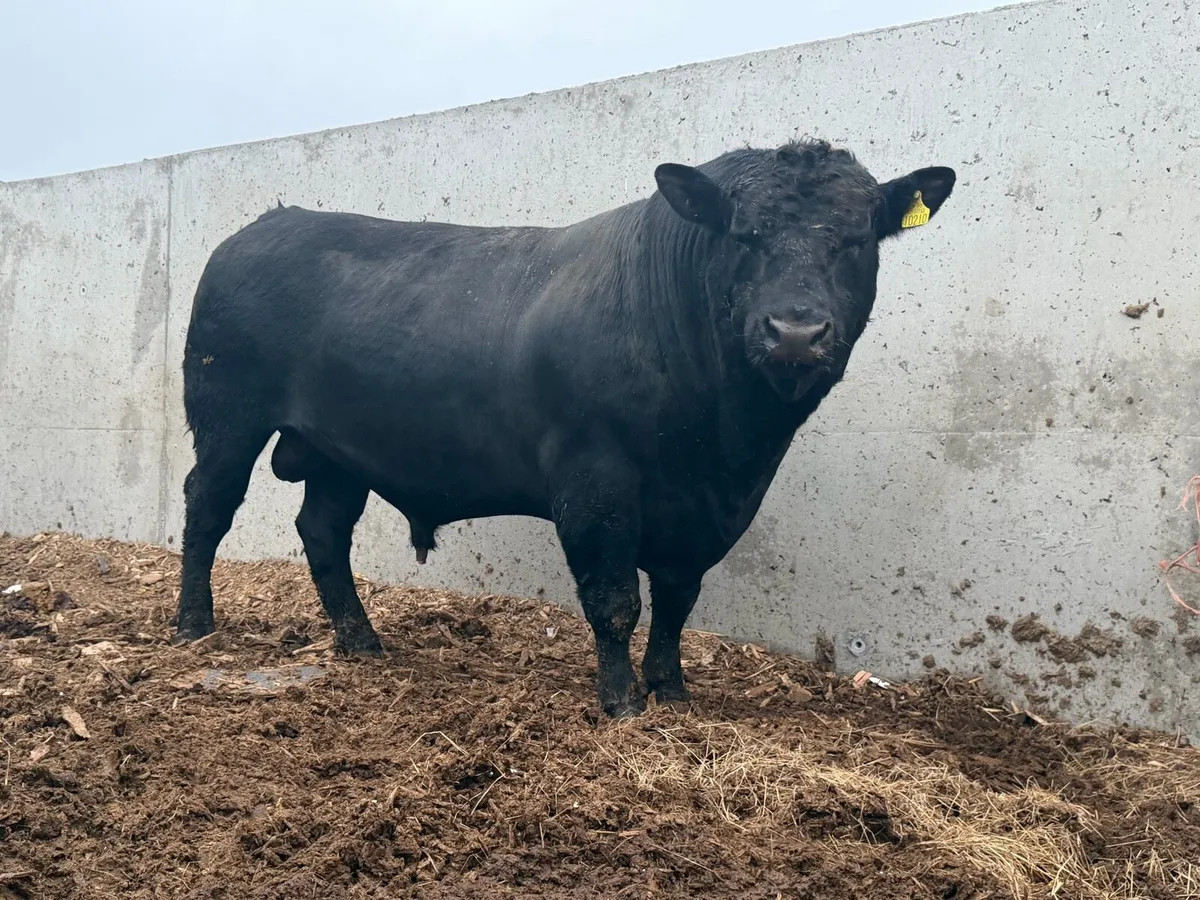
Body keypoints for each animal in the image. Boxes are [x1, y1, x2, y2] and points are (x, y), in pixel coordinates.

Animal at [172, 137, 956, 717]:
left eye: (856, 239)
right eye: (745, 235)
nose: (795, 331)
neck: (726, 443)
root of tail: (267, 223)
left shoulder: (710, 509)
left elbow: (677, 600)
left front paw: (673, 692)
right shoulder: (594, 480)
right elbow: (614, 600)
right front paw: (623, 704)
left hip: (341, 450)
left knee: (323, 530)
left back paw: (362, 641)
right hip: (226, 412)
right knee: (208, 506)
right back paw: (193, 624)